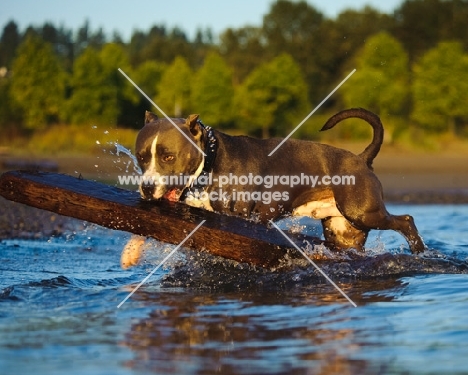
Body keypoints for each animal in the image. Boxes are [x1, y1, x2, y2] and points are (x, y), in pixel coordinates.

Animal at [119, 107, 424, 268]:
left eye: (168, 157)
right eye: (142, 157)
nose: (147, 187)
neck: (209, 163)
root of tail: (361, 159)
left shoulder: (238, 217)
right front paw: (130, 252)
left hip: (361, 211)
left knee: (406, 220)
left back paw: (420, 252)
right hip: (343, 231)